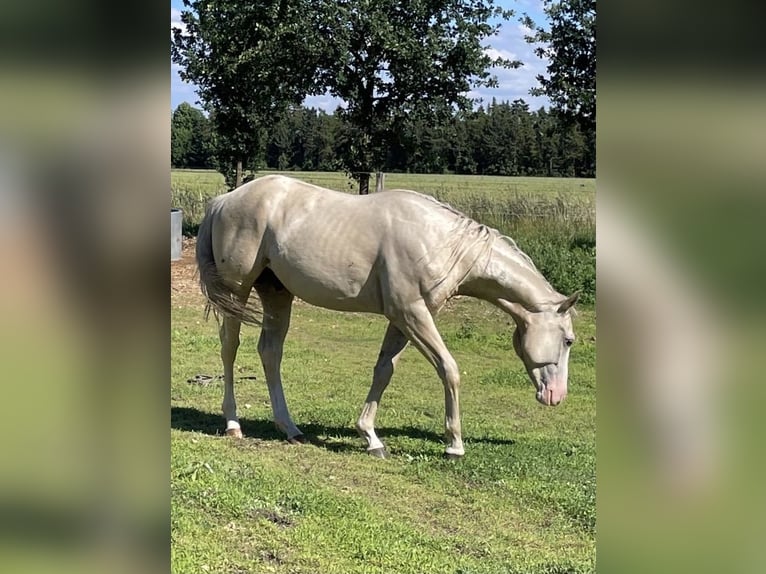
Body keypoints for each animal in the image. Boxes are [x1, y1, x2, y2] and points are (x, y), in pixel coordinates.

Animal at [195, 176, 580, 460]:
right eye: (568, 340)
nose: (556, 395)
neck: (440, 241)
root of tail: (223, 201)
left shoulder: (403, 318)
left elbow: (384, 370)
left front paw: (371, 438)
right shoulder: (411, 313)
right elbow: (449, 368)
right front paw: (454, 445)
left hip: (276, 294)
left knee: (270, 353)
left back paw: (290, 429)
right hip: (236, 292)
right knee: (230, 348)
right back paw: (233, 424)